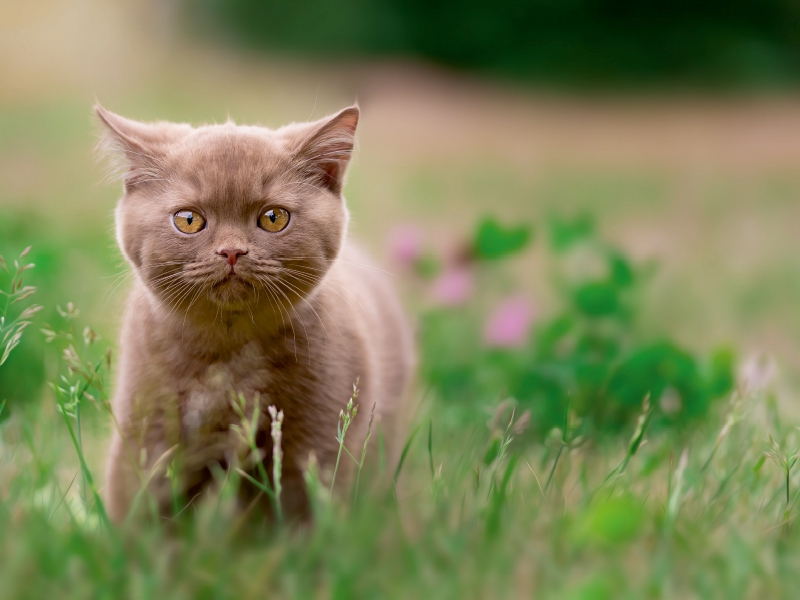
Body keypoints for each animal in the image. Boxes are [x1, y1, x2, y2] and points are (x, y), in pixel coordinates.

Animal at [97, 103, 416, 520]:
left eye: (273, 217)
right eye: (188, 220)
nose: (232, 251)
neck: (230, 355)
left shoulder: (315, 447)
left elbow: (296, 520)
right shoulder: (148, 432)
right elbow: (140, 509)